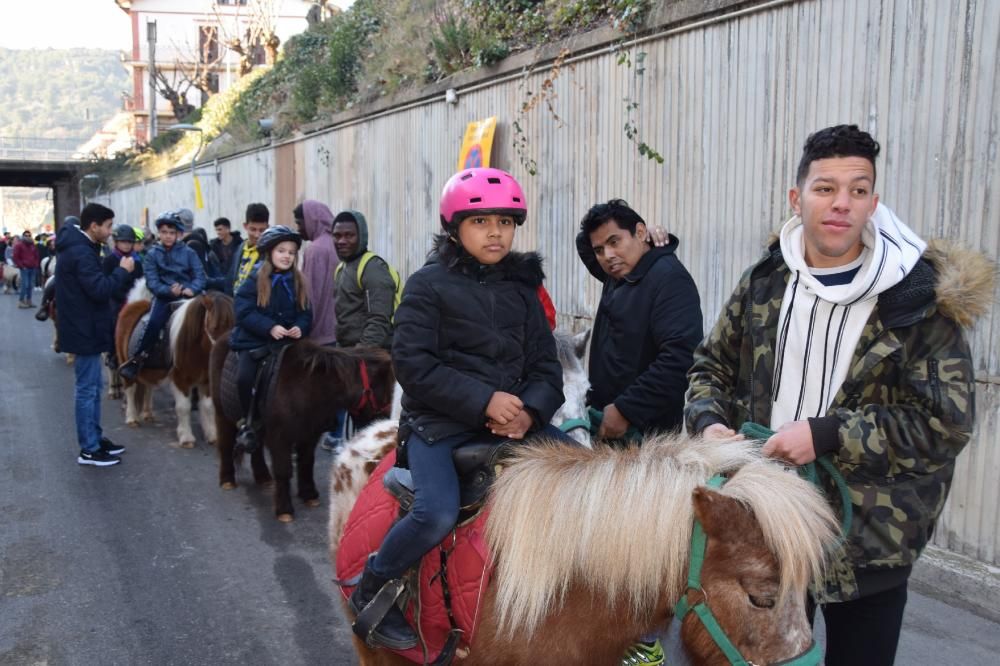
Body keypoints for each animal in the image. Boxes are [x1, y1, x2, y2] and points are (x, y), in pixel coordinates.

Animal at [114, 290, 234, 446]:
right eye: (214, 327)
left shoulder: (206, 380)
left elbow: (208, 407)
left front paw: (212, 436)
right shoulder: (180, 379)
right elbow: (184, 407)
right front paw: (186, 438)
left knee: (148, 387)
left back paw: (148, 413)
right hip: (125, 362)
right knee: (130, 389)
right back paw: (132, 418)